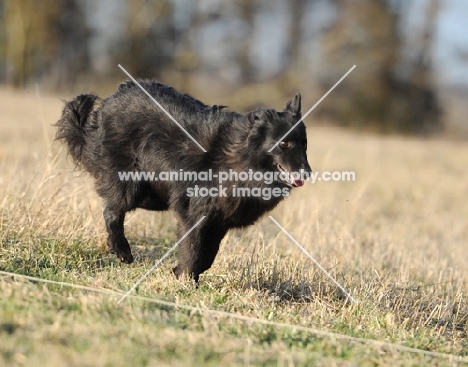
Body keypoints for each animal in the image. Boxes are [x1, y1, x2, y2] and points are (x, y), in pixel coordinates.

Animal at [55, 80, 310, 282]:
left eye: (304, 143)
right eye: (284, 143)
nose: (307, 173)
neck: (240, 159)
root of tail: (110, 102)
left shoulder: (218, 222)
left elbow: (208, 256)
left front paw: (181, 273)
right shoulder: (194, 215)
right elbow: (194, 250)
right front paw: (186, 279)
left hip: (150, 195)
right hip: (130, 186)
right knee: (111, 212)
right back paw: (121, 249)